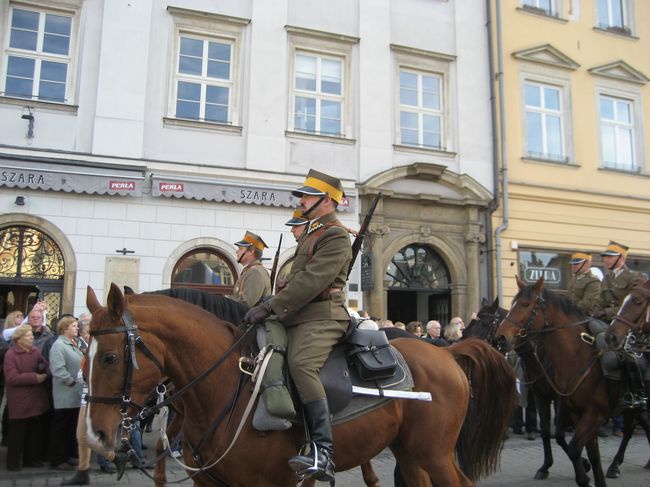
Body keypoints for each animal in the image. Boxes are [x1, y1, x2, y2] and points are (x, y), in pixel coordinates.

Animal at [85, 284, 512, 486]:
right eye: (87, 355)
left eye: (109, 358)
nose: (96, 436)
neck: (228, 385)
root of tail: (448, 352)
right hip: (409, 451)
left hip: (436, 453)